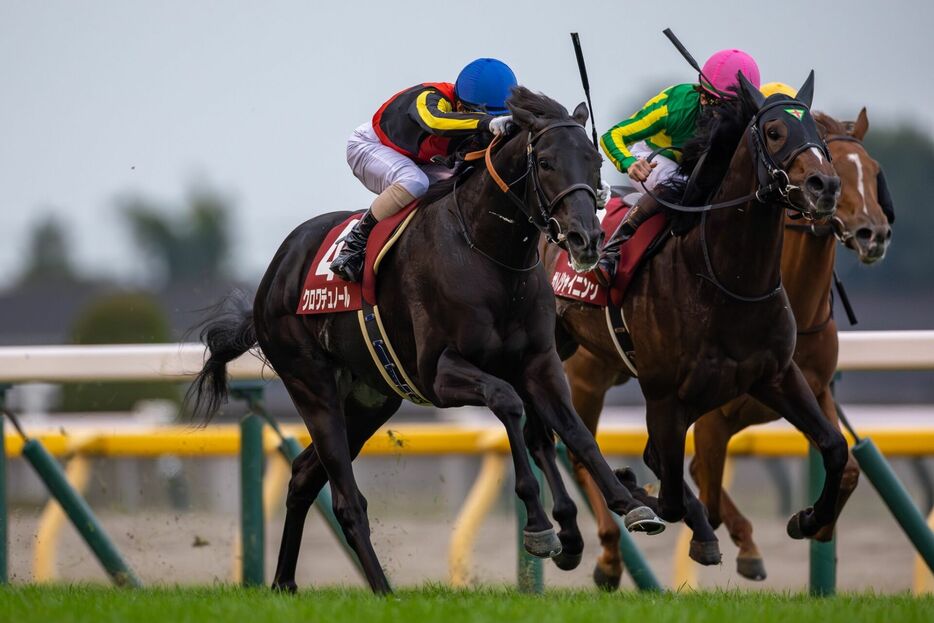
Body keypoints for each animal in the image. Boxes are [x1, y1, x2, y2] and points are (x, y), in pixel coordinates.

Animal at [186, 88, 664, 596]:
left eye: (593, 160)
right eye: (547, 162)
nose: (586, 238)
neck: (488, 251)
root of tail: (275, 273)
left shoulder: (539, 362)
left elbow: (575, 431)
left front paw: (629, 502)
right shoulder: (440, 373)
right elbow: (509, 403)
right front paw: (539, 526)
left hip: (369, 401)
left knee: (302, 478)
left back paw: (284, 583)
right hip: (311, 384)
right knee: (347, 500)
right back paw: (381, 589)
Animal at [544, 73, 852, 588]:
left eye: (818, 135)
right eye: (774, 132)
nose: (824, 185)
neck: (726, 279)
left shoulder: (777, 375)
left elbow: (834, 446)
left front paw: (807, 519)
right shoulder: (665, 394)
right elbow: (667, 495)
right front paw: (638, 494)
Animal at [692, 107, 896, 580]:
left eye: (873, 170)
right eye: (838, 172)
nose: (874, 234)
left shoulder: (815, 392)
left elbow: (849, 465)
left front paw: (812, 523)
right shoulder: (713, 416)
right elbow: (707, 494)